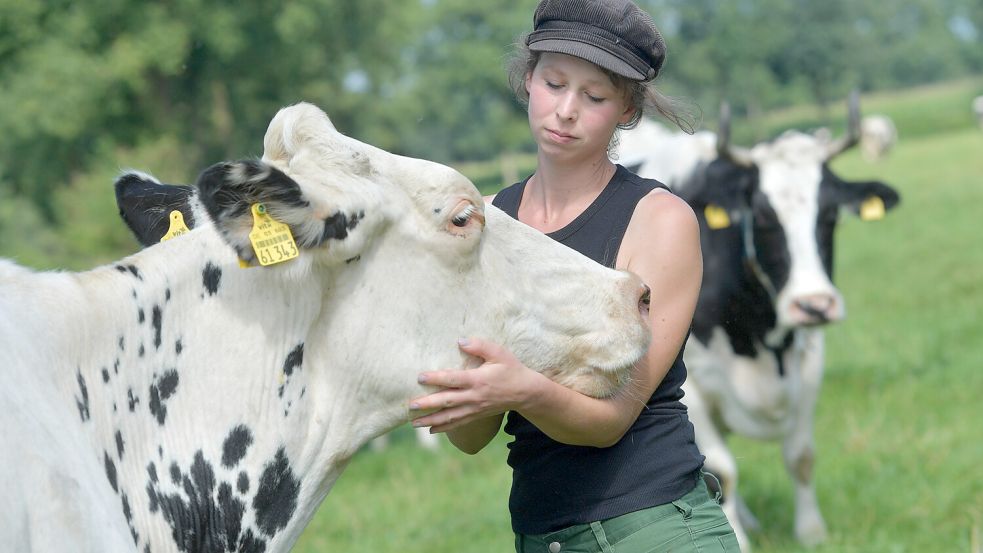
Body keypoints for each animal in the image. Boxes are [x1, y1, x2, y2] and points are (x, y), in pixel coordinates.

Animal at [620, 92, 904, 548]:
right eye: (765, 217)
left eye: (830, 216)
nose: (814, 305)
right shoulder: (689, 384)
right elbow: (723, 467)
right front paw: (736, 535)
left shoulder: (809, 361)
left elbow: (801, 456)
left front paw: (812, 533)